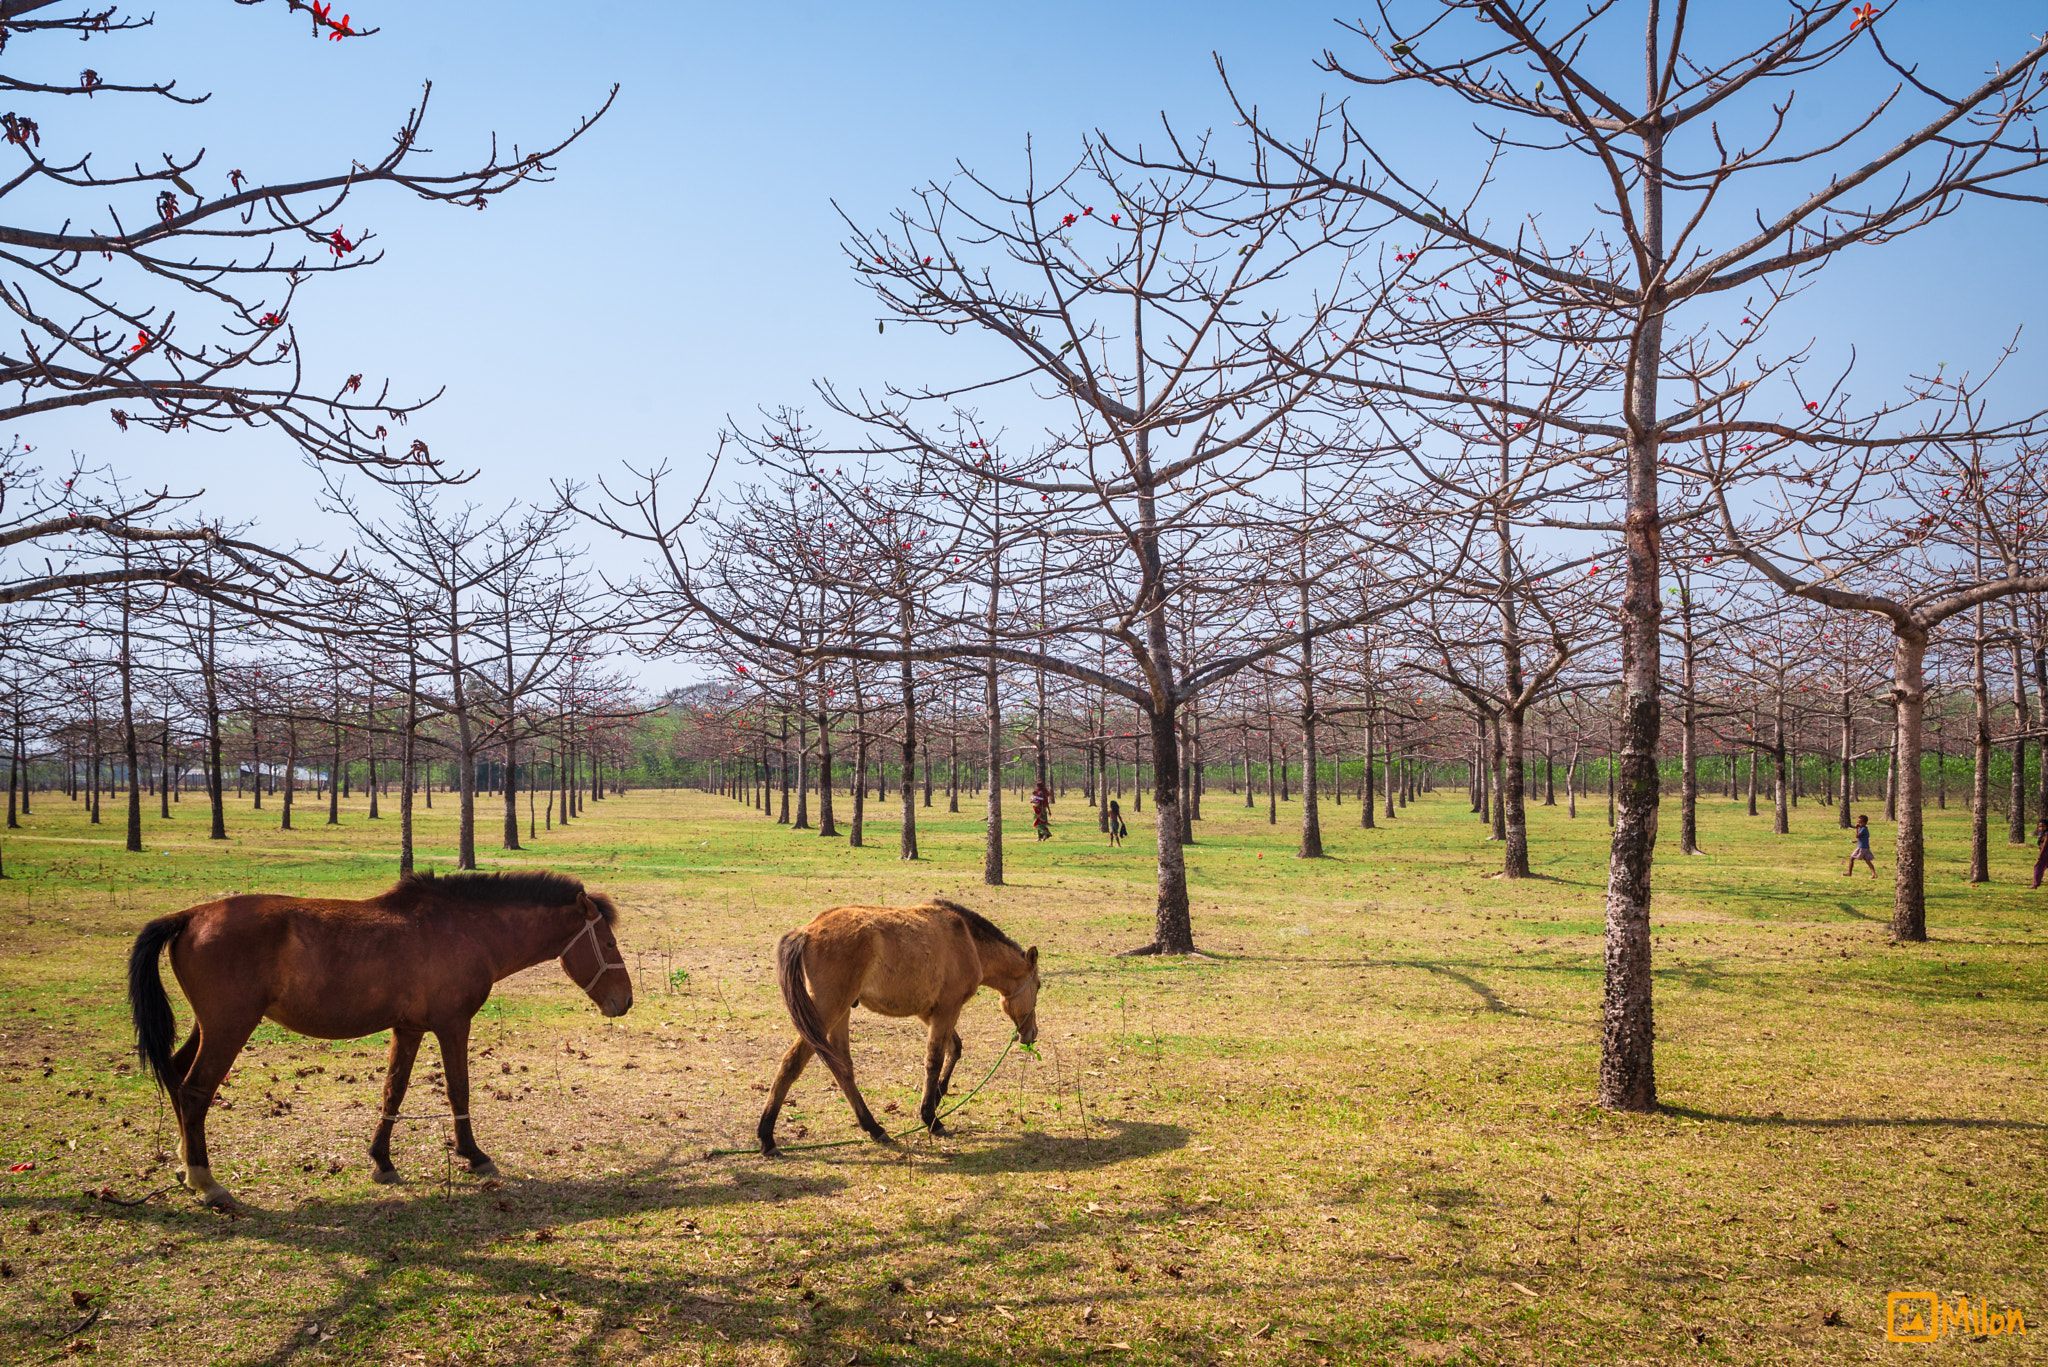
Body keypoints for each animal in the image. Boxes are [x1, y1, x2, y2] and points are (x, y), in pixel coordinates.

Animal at [130, 873, 622, 1205]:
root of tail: (190, 916)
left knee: (177, 1077)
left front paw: (382, 1160)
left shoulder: (408, 1028)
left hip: (209, 1027)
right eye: (610, 944)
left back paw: (185, 1165)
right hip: (229, 1028)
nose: (625, 1000)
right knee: (195, 1092)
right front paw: (473, 1154)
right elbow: (457, 1090)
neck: (464, 928)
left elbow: (393, 1092)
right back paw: (206, 1181)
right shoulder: (452, 1025)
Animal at [757, 897, 1040, 1155]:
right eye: (1038, 986)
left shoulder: (929, 1012)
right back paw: (767, 1137)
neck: (968, 940)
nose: (1032, 1033)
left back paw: (874, 1128)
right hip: (827, 1011)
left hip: (840, 1014)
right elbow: (934, 1060)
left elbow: (954, 1048)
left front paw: (937, 1095)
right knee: (792, 1062)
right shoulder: (948, 1009)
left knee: (843, 1069)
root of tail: (807, 930)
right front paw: (931, 1118)